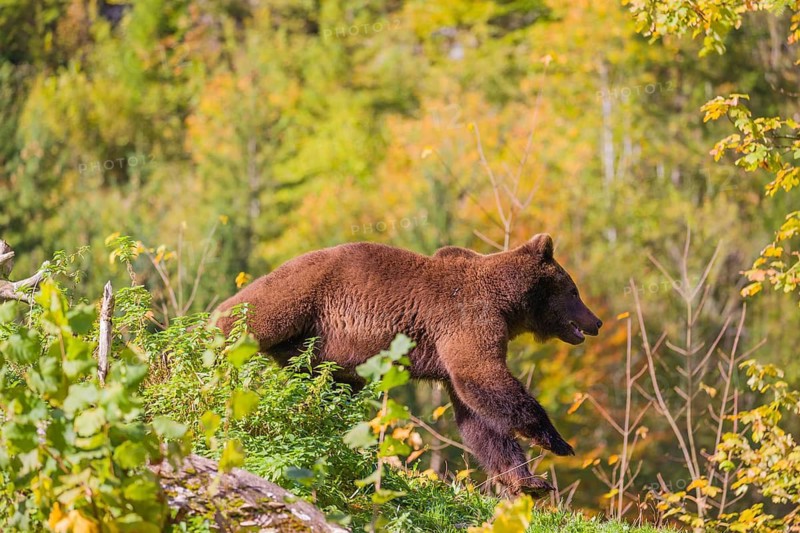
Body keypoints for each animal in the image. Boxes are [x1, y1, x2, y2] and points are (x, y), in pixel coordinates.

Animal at [215, 233, 602, 495]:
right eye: (574, 291)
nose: (595, 321)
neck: (508, 304)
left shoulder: (452, 349)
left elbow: (477, 418)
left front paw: (528, 480)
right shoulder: (468, 319)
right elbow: (483, 378)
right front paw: (557, 442)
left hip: (320, 352)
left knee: (330, 390)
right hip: (301, 295)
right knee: (245, 318)